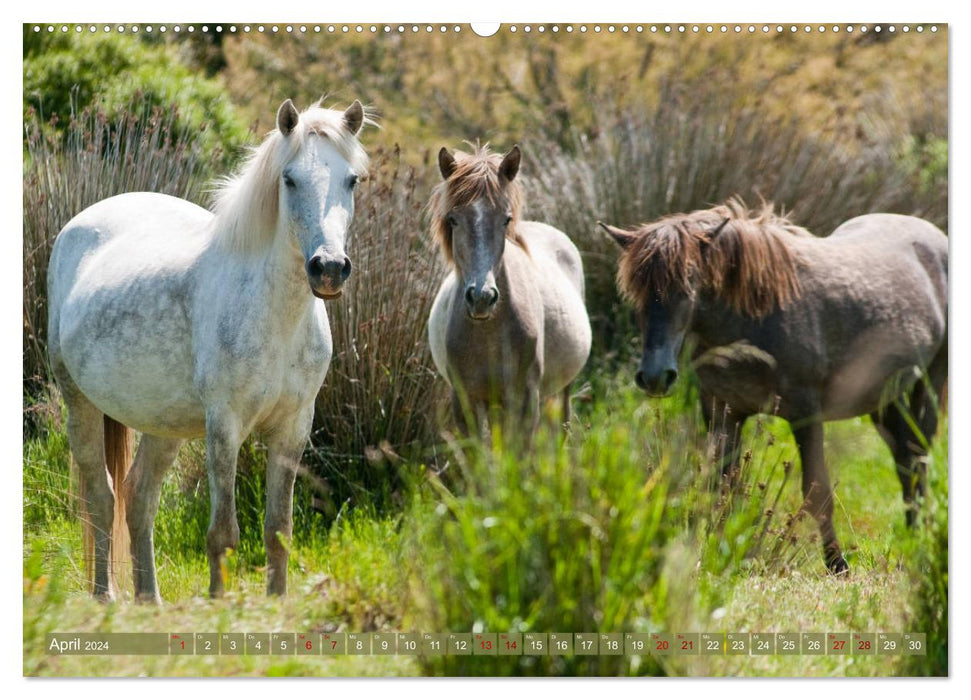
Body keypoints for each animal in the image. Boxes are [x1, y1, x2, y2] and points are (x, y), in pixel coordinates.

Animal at [47, 98, 370, 600]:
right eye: (289, 178)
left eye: (351, 179)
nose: (329, 269)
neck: (277, 318)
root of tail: (78, 226)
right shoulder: (224, 426)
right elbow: (223, 532)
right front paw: (220, 603)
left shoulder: (293, 428)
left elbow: (278, 530)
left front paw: (276, 603)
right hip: (78, 402)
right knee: (101, 496)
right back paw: (105, 595)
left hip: (162, 425)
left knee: (139, 498)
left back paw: (150, 600)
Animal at [428, 144, 592, 438]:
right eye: (453, 219)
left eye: (505, 220)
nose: (481, 298)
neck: (488, 335)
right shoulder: (465, 402)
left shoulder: (526, 400)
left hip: (562, 389)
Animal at [604, 197, 944, 576]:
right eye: (636, 293)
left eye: (687, 287)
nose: (654, 376)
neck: (758, 312)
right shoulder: (723, 413)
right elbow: (724, 487)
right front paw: (722, 554)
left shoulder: (806, 415)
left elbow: (816, 490)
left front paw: (837, 564)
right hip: (886, 397)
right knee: (906, 461)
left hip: (929, 385)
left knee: (917, 457)